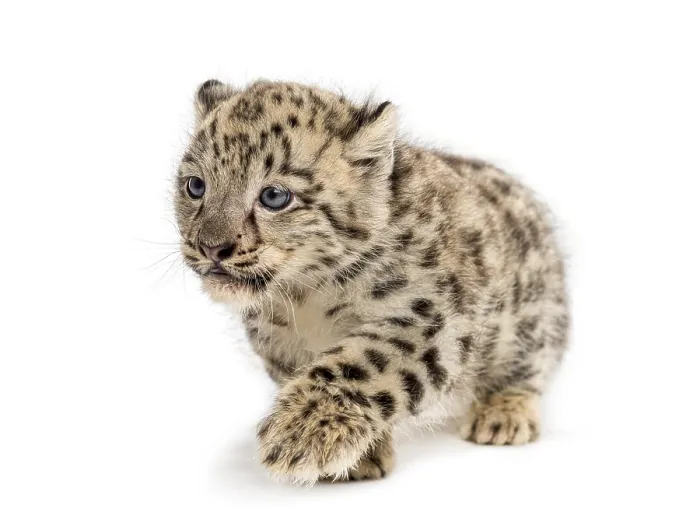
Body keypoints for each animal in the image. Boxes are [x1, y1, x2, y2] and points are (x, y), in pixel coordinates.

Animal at [173, 79, 569, 484]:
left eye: (274, 196)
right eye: (195, 186)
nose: (211, 247)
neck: (303, 296)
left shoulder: (430, 317)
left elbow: (360, 366)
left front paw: (299, 434)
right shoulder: (277, 341)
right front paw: (362, 456)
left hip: (532, 319)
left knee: (529, 366)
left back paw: (503, 416)